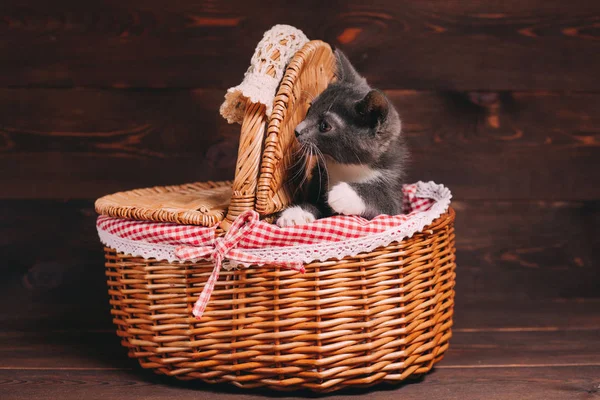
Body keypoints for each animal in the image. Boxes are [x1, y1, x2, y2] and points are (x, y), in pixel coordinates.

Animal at [276, 48, 408, 227]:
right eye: (310, 109)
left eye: (324, 126)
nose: (297, 130)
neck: (345, 167)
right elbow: (315, 204)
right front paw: (296, 213)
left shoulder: (395, 198)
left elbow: (384, 202)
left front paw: (344, 194)